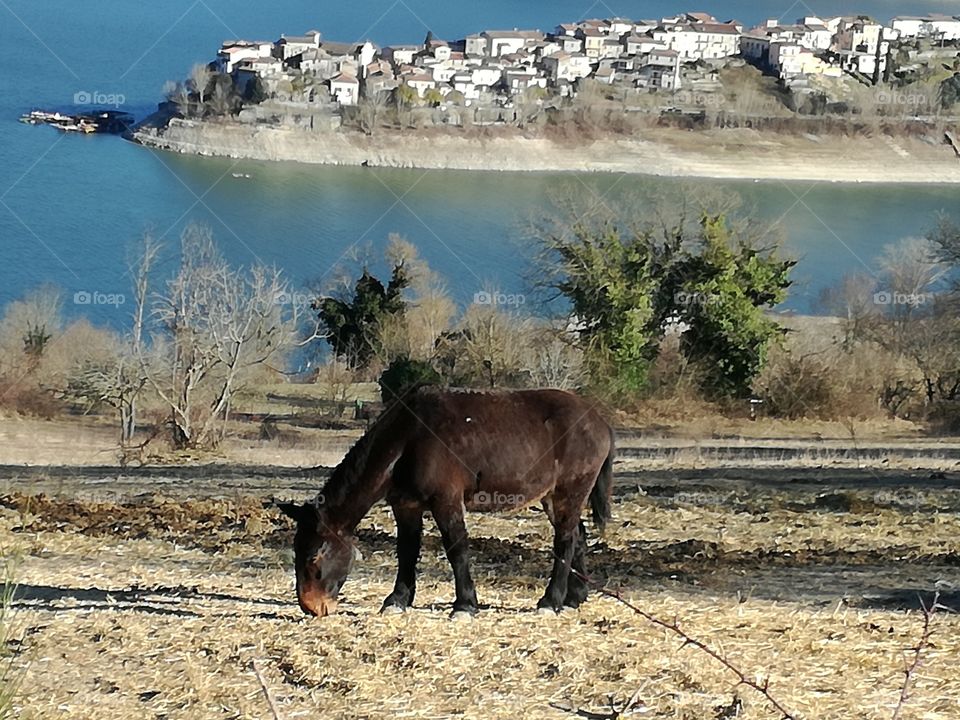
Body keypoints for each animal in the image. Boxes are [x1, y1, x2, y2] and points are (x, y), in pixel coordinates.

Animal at [278, 386, 615, 618]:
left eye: (314, 557)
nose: (311, 607)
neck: (408, 440)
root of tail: (598, 419)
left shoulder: (446, 501)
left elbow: (457, 550)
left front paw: (465, 605)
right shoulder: (406, 506)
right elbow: (407, 552)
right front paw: (397, 600)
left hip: (569, 492)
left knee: (566, 541)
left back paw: (551, 601)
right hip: (550, 498)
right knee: (578, 537)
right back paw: (574, 598)